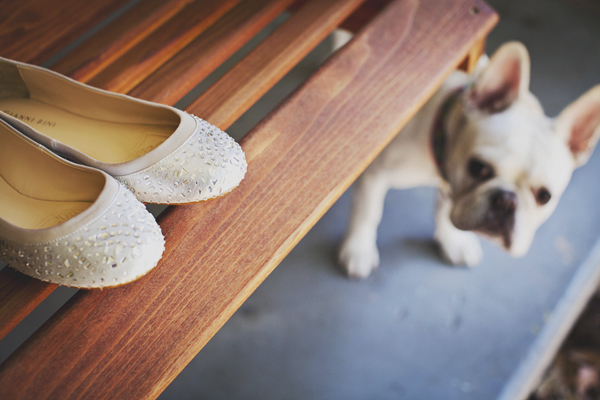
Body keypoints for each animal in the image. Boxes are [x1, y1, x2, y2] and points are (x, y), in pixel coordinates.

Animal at [340, 41, 596, 278]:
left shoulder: (451, 184)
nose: (507, 201)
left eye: (544, 196)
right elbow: (368, 212)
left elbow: (445, 208)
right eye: (478, 167)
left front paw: (453, 240)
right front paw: (358, 250)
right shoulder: (374, 173)